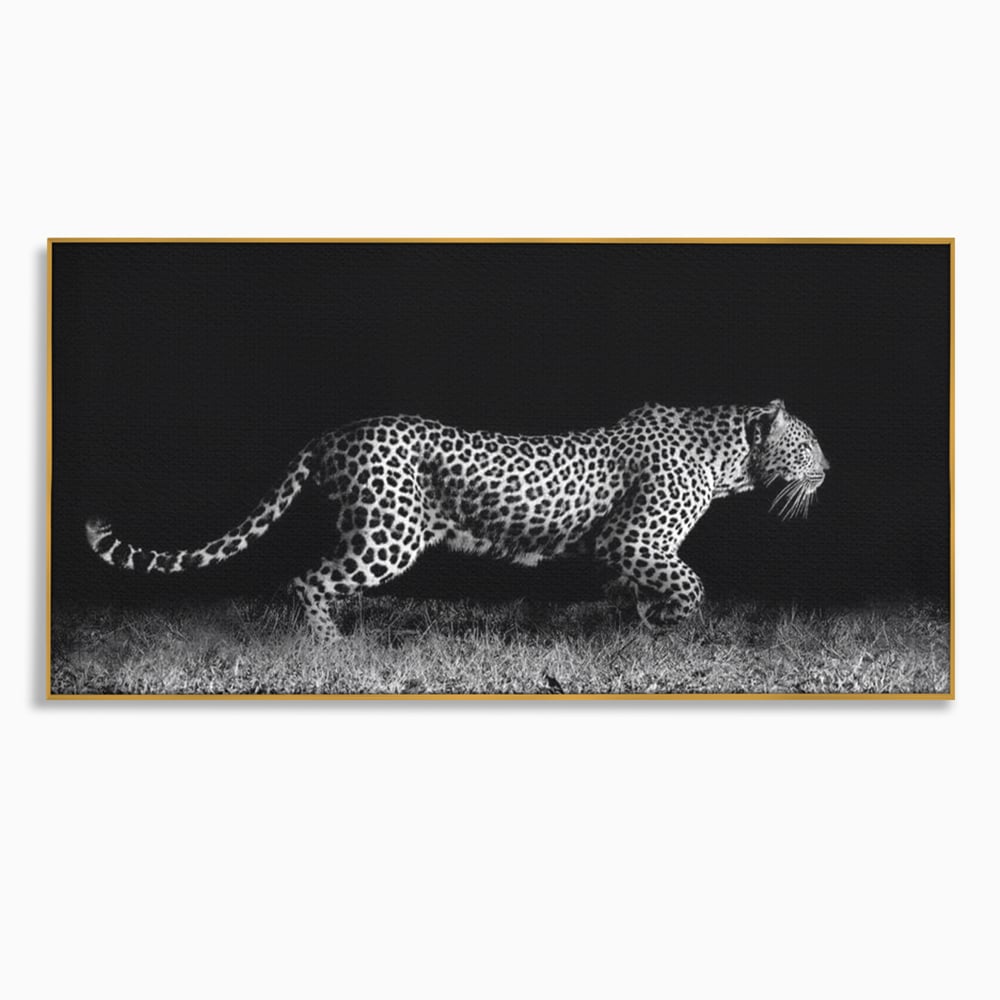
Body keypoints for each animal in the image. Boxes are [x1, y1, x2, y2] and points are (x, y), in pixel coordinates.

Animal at [86, 399, 829, 642]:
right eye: (811, 443)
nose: (832, 467)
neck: (730, 459)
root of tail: (332, 433)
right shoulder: (633, 538)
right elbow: (690, 584)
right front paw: (670, 623)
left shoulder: (622, 550)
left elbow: (636, 591)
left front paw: (640, 627)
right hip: (391, 532)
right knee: (307, 580)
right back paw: (333, 648)